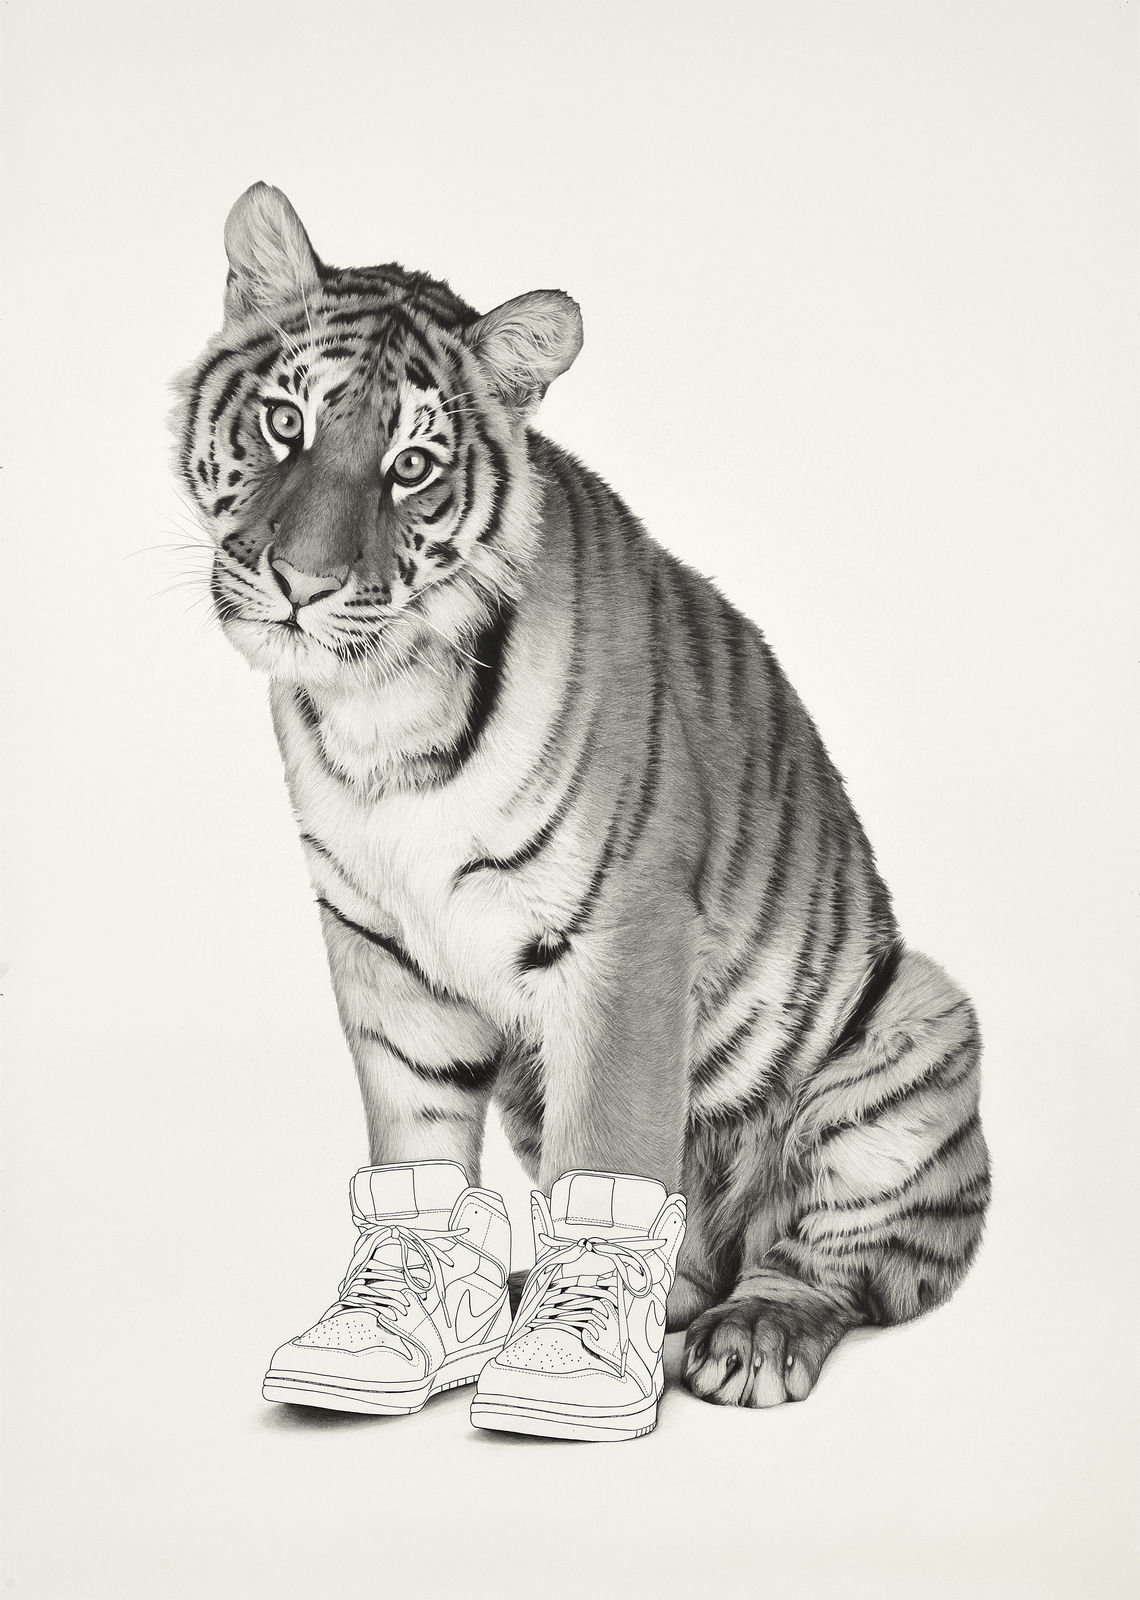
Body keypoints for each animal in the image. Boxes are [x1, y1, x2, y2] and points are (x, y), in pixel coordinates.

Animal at [173, 182, 991, 1409]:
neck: (382, 710)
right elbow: (413, 1146)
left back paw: (753, 1336)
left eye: (410, 466)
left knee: (829, 1264)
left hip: (915, 1027)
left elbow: (606, 1159)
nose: (300, 585)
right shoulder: (378, 944)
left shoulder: (623, 938)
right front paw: (385, 1330)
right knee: (691, 1263)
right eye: (284, 422)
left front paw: (568, 1375)